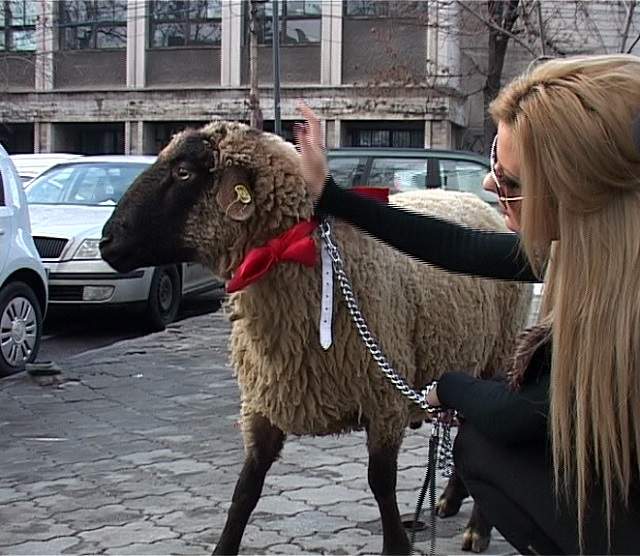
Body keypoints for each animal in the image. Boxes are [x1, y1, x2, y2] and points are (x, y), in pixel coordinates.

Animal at [99, 122, 528, 556]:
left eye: (184, 172)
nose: (106, 241)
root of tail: (469, 200)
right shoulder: (264, 401)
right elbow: (246, 488)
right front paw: (224, 546)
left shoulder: (384, 400)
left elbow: (380, 482)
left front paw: (397, 545)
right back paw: (450, 499)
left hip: (499, 355)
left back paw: (477, 529)